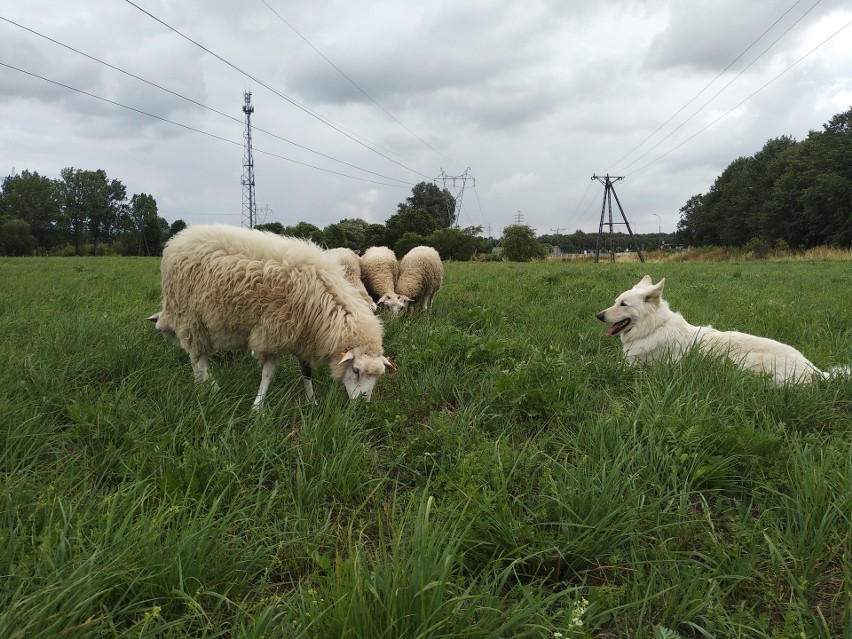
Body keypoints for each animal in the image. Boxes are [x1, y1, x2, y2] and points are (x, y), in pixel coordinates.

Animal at [150, 222, 396, 408]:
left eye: (378, 376)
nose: (362, 405)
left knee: (196, 358)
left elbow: (306, 372)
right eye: (355, 370)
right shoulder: (271, 333)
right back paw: (212, 390)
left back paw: (202, 386)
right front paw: (258, 407)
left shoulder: (302, 336)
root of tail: (178, 238)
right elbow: (268, 374)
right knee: (198, 359)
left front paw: (311, 401)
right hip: (189, 317)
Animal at [596, 276, 844, 384]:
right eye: (616, 301)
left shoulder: (637, 368)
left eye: (623, 304)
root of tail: (815, 370)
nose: (599, 315)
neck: (654, 328)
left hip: (745, 363)